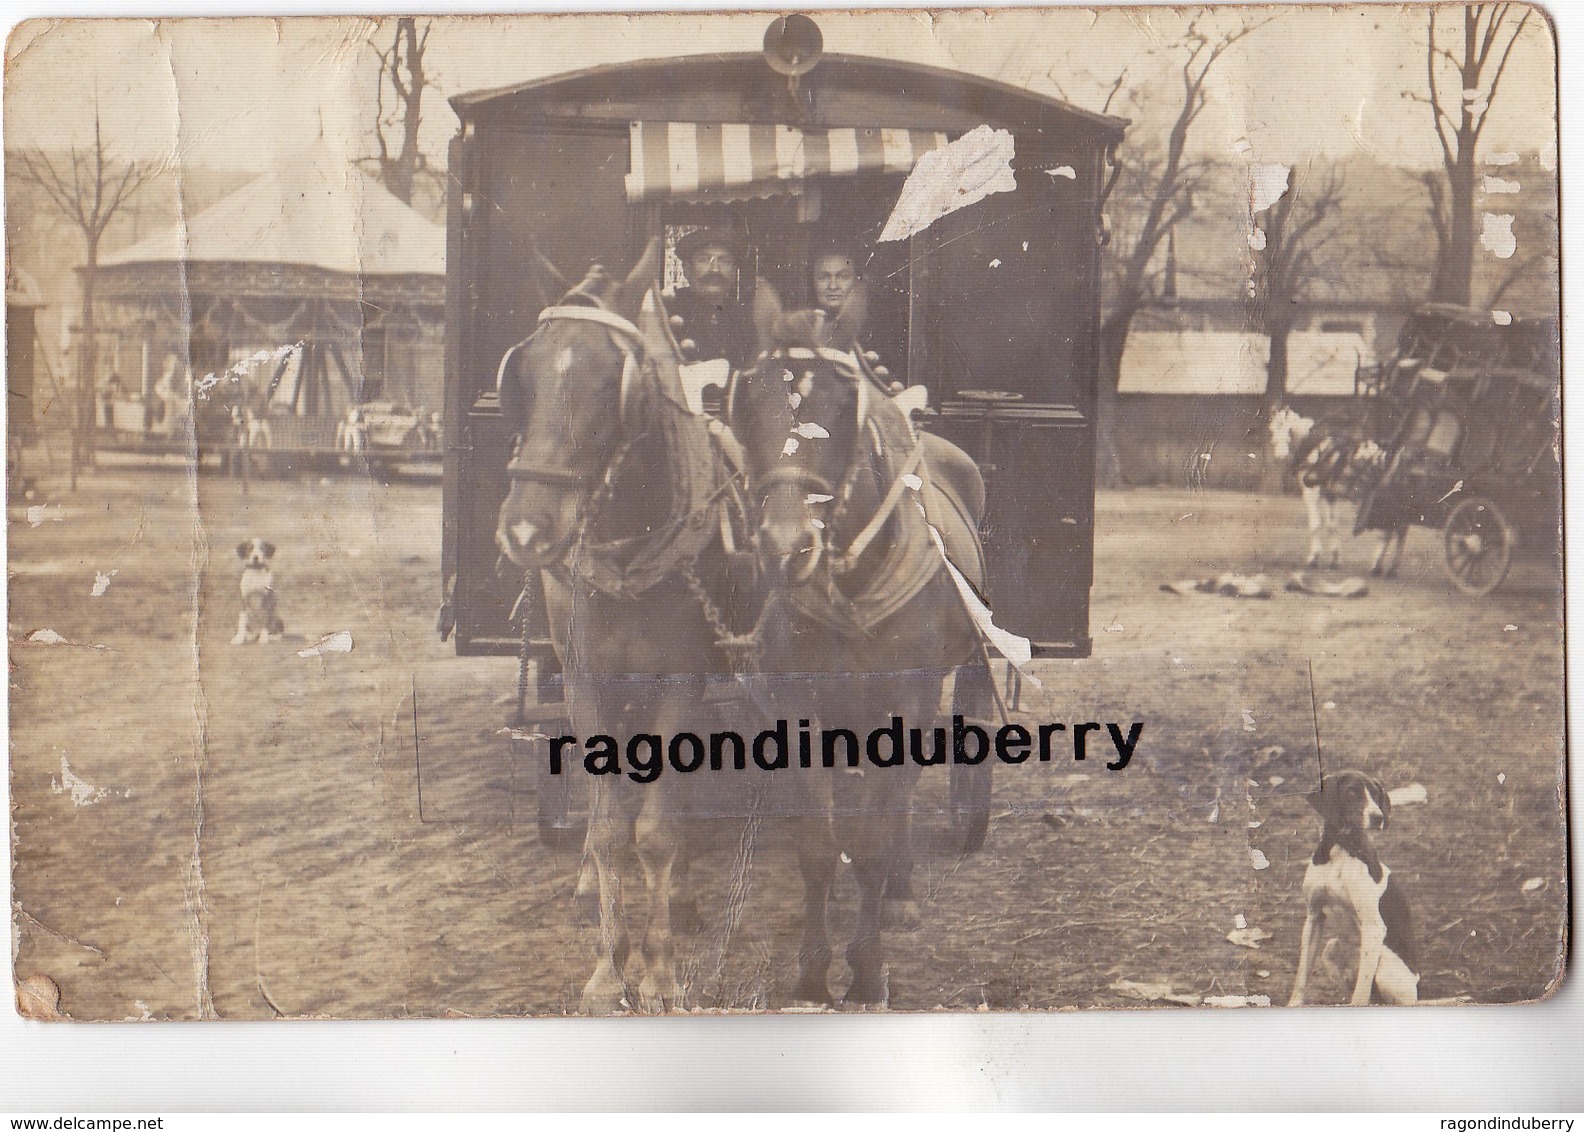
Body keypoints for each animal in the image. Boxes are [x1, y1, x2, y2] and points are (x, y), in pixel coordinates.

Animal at [725, 288, 994, 1006]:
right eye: (749, 401)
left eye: (843, 409)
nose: (785, 546)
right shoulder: (800, 709)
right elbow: (819, 845)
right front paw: (813, 971)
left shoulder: (905, 701)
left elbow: (875, 836)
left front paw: (868, 969)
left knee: (899, 802)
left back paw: (899, 891)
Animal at [1286, 769, 1425, 1006]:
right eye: (1352, 792)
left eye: (1376, 794)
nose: (1378, 817)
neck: (1342, 848)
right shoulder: (1314, 917)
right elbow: (1302, 974)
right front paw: (1294, 1003)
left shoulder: (1373, 927)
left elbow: (1361, 990)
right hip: (1330, 949)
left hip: (1386, 968)